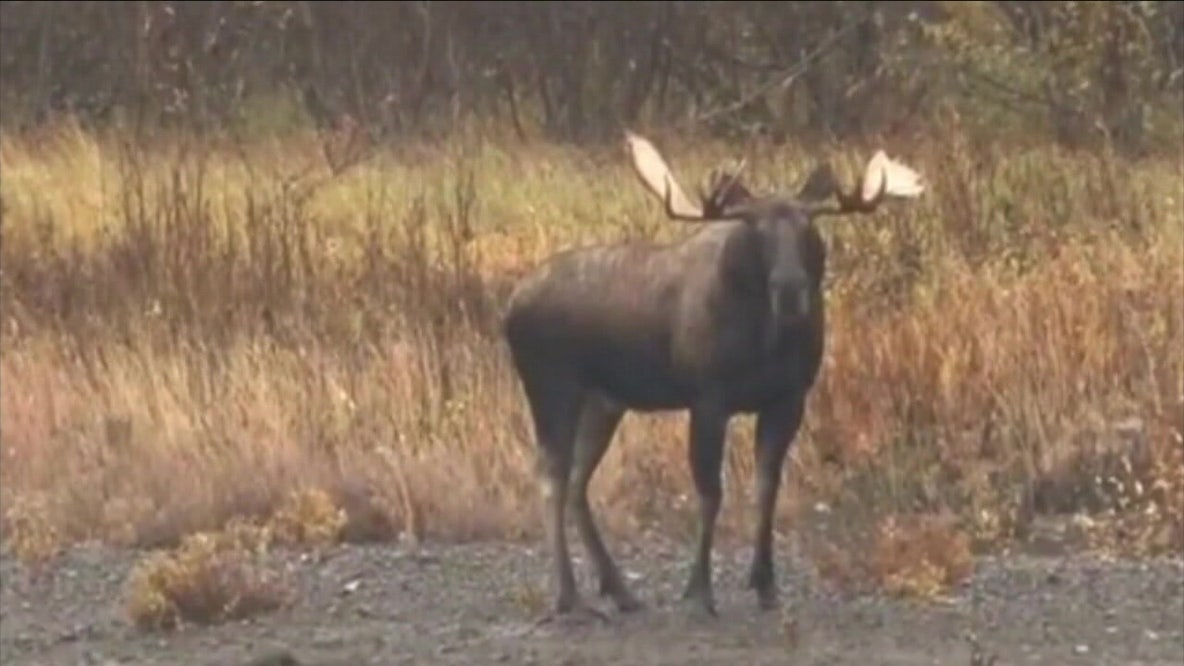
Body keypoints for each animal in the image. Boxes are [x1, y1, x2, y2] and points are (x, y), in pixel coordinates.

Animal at [501, 130, 925, 625]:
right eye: (757, 230)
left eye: (807, 227)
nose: (790, 289)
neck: (766, 341)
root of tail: (508, 307)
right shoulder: (708, 399)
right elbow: (710, 492)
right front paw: (700, 590)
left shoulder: (789, 399)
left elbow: (766, 488)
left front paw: (765, 584)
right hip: (552, 388)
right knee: (550, 478)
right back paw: (569, 595)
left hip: (605, 401)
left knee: (576, 481)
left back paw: (619, 590)